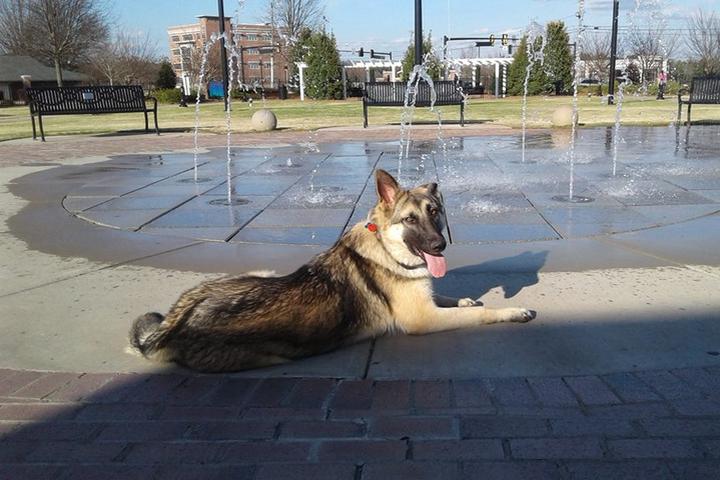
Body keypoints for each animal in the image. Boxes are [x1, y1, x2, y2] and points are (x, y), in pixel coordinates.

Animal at [131, 171, 536, 374]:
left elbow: (452, 297)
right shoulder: (423, 319)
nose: (439, 246)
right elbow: (481, 313)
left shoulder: (429, 299)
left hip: (261, 273)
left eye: (435, 212)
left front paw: (465, 297)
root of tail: (176, 320)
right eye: (410, 219)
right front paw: (512, 311)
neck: (385, 249)